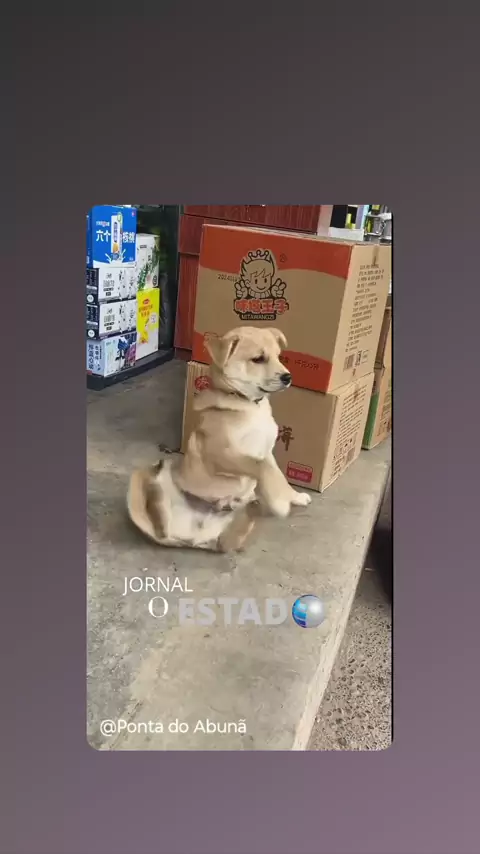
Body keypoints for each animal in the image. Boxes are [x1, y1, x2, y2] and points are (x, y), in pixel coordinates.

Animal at [127, 326, 311, 552]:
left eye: (279, 356)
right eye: (258, 359)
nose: (288, 377)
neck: (248, 404)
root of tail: (195, 538)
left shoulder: (267, 452)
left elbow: (277, 475)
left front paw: (292, 496)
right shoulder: (222, 454)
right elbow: (261, 468)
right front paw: (280, 502)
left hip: (232, 531)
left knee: (231, 534)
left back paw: (239, 503)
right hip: (140, 483)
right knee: (158, 523)